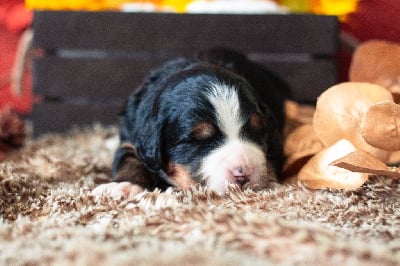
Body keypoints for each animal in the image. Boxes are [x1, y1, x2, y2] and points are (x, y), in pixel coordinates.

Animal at [99, 48, 290, 195]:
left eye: (257, 131)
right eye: (197, 140)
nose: (242, 172)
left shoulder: (275, 136)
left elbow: (270, 159)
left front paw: (269, 182)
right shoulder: (132, 139)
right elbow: (129, 160)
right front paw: (123, 186)